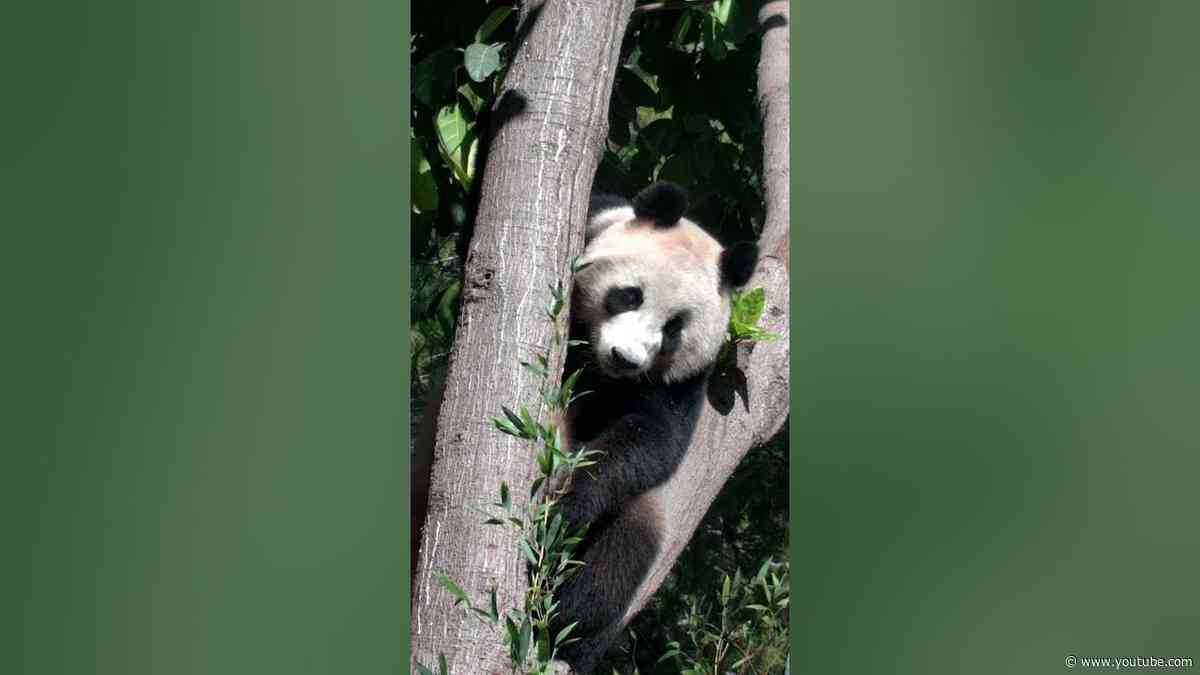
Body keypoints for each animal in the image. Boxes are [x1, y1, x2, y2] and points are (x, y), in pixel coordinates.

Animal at [552, 178, 758, 667]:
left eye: (673, 330)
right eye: (630, 295)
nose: (625, 359)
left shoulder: (685, 381)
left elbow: (654, 439)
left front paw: (569, 506)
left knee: (623, 550)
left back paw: (566, 618)